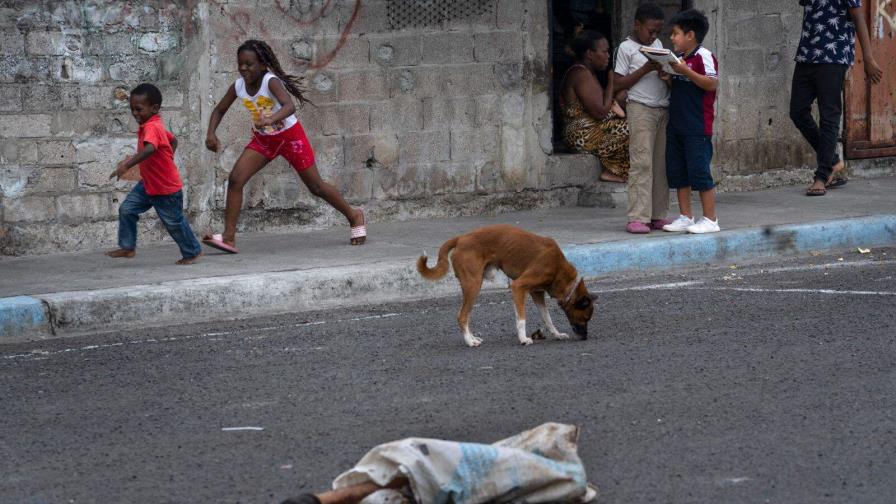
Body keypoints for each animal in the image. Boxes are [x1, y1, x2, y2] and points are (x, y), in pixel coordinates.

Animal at [418, 224, 596, 346]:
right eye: (585, 317)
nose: (585, 337)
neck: (558, 268)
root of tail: (461, 238)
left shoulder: (537, 294)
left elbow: (547, 318)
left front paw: (557, 334)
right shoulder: (518, 287)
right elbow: (521, 319)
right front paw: (523, 339)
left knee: (466, 316)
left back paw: (473, 337)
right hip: (473, 285)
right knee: (462, 316)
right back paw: (469, 341)